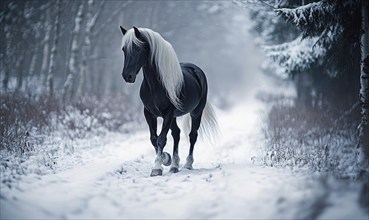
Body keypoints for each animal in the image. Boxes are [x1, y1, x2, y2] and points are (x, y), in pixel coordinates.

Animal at [119, 26, 217, 177]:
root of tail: (196, 70)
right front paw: (165, 159)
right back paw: (174, 165)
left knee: (192, 135)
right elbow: (154, 139)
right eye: (124, 49)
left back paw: (188, 164)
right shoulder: (149, 114)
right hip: (174, 117)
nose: (127, 76)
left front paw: (157, 167)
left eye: (137, 48)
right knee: (176, 133)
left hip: (196, 112)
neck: (155, 86)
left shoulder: (168, 113)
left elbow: (161, 139)